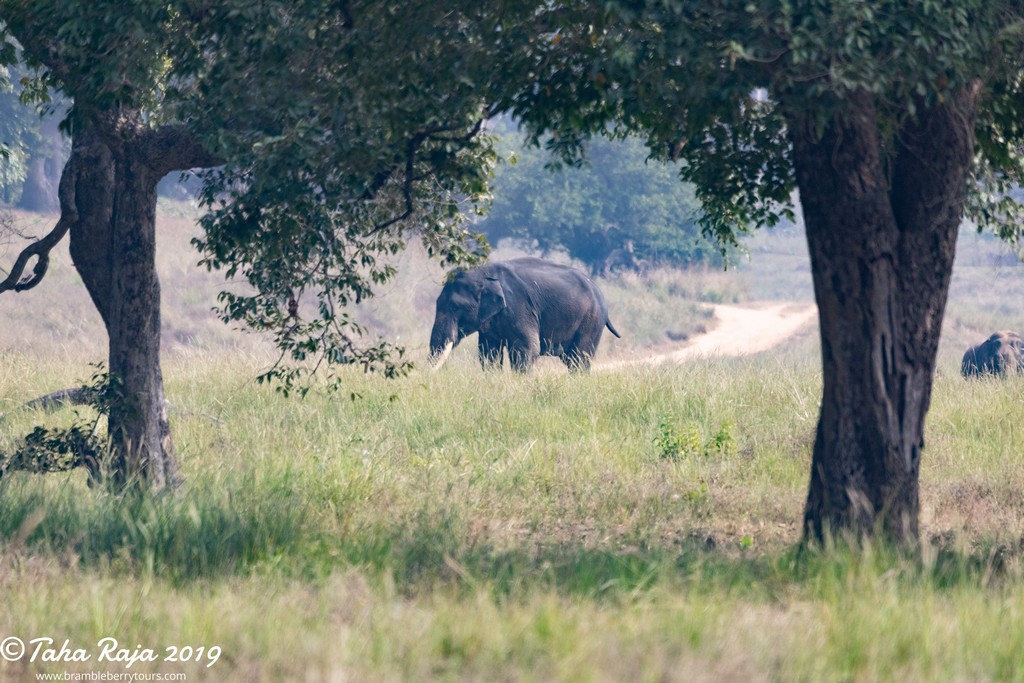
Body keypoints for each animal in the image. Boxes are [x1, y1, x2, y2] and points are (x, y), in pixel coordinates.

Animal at [429, 257, 621, 372]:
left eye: (455, 307)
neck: (482, 273)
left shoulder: (519, 307)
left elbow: (527, 348)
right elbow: (488, 352)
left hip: (592, 319)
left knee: (579, 358)